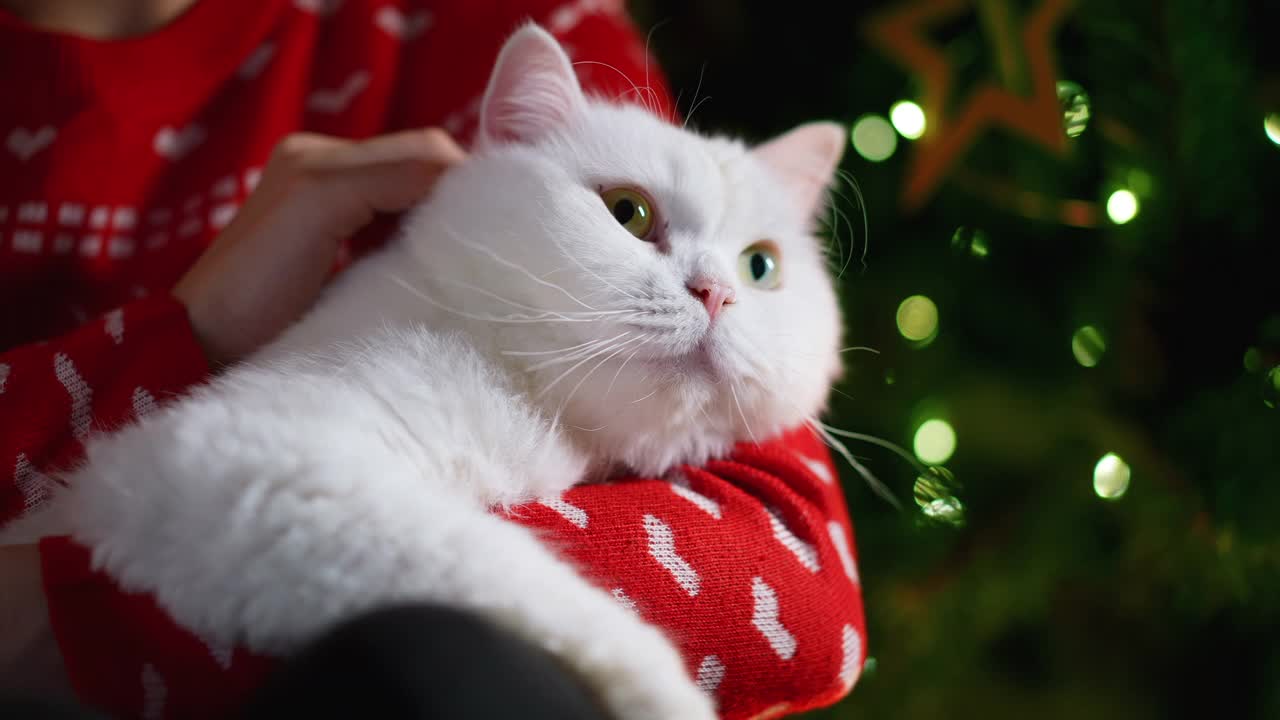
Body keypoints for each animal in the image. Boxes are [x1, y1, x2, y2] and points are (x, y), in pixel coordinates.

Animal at [12, 22, 849, 717]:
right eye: (629, 212)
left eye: (762, 266)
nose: (717, 294)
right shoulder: (240, 464)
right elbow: (507, 573)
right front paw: (660, 692)